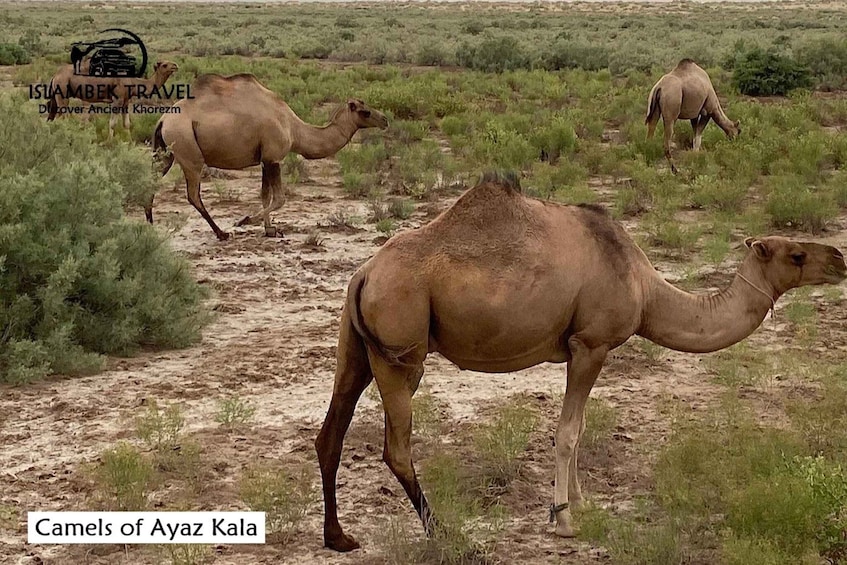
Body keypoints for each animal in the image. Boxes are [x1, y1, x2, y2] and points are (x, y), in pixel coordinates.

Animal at [47, 60, 179, 137]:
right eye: (165, 65)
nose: (175, 66)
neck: (132, 82)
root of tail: (55, 76)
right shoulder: (117, 99)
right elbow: (112, 123)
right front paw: (110, 141)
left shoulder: (125, 101)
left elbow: (127, 124)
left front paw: (129, 141)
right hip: (62, 90)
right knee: (63, 115)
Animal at [151, 73, 388, 240]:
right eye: (365, 111)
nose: (385, 120)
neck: (294, 129)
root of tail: (163, 120)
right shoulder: (274, 157)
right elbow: (280, 198)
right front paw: (244, 221)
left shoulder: (265, 159)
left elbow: (265, 195)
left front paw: (269, 229)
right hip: (189, 151)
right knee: (193, 194)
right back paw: (221, 233)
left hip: (165, 153)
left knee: (151, 181)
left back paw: (150, 226)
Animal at [315, 171, 846, 552]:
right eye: (796, 255)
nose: (840, 258)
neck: (645, 286)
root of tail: (364, 273)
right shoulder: (590, 343)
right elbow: (569, 430)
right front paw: (564, 519)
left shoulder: (587, 349)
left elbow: (582, 425)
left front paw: (580, 503)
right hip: (401, 349)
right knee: (396, 446)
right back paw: (444, 532)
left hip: (357, 346)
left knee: (330, 433)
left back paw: (339, 538)